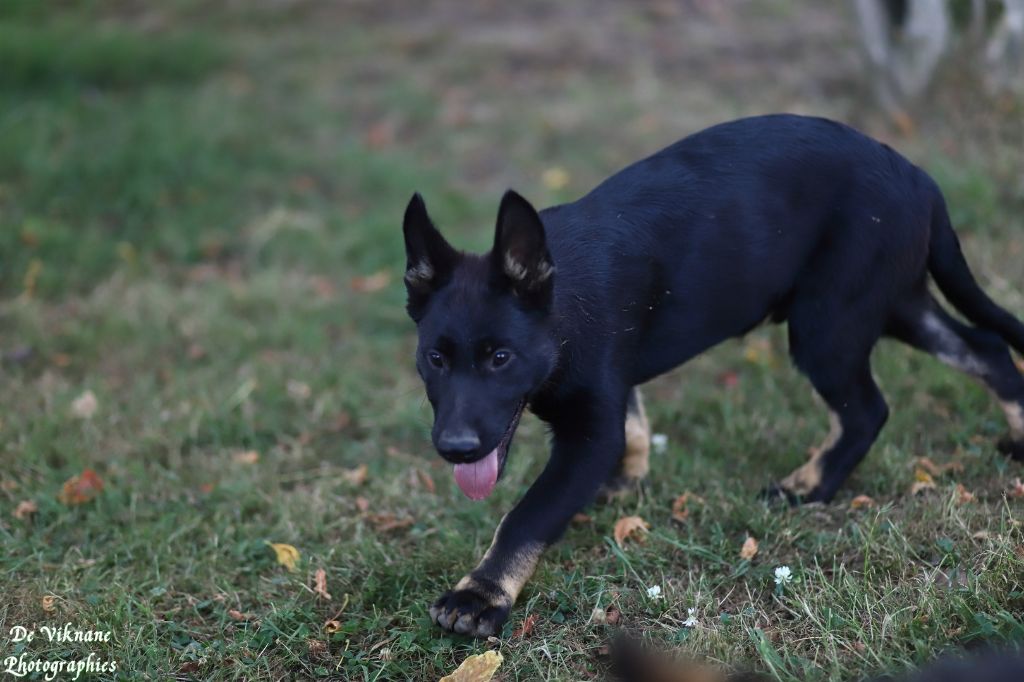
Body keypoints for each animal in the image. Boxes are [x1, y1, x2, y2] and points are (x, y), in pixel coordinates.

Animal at [402, 114, 1024, 637]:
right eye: (435, 359)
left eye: (500, 358)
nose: (454, 449)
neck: (558, 309)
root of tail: (920, 179)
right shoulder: (610, 393)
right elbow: (632, 422)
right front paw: (626, 480)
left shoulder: (588, 430)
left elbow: (526, 515)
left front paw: (481, 596)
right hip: (892, 301)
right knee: (986, 348)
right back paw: (1018, 434)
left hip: (828, 322)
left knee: (869, 409)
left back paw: (809, 487)